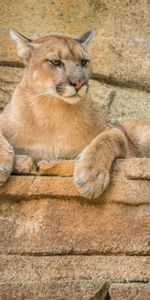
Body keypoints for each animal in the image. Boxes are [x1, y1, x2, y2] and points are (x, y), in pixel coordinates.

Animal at [0, 29, 149, 199]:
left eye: (84, 62)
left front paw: (91, 175)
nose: (79, 83)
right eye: (55, 62)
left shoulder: (115, 131)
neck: (52, 110)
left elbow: (107, 139)